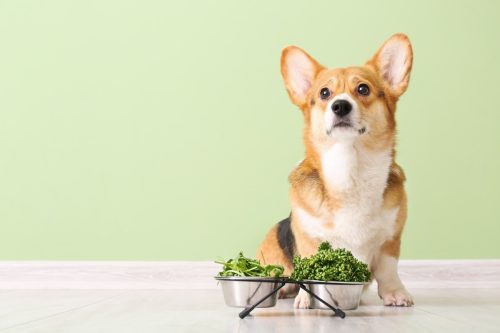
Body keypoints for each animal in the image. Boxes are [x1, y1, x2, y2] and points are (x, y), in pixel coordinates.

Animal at [258, 33, 414, 306]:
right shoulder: (310, 239)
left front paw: (395, 293)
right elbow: (309, 268)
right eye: (324, 93)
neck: (350, 167)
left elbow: (388, 270)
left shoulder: (390, 240)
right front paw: (306, 300)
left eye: (363, 89)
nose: (340, 105)